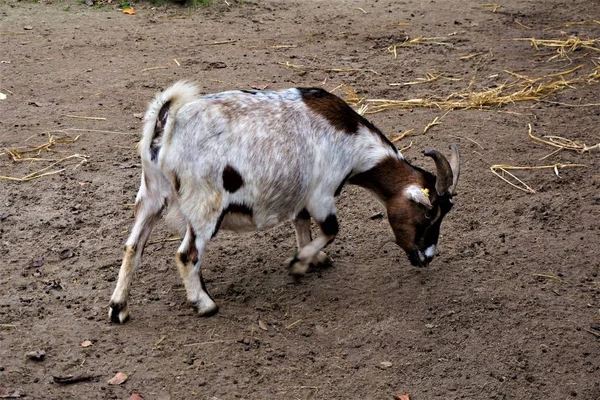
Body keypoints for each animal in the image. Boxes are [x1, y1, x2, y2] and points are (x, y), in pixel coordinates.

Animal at [109, 83, 460, 324]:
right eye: (429, 215)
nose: (426, 257)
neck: (350, 139)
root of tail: (166, 125)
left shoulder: (302, 197)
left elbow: (302, 225)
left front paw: (314, 259)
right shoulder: (322, 193)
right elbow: (331, 229)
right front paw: (299, 263)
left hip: (152, 194)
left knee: (133, 246)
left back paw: (119, 308)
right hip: (205, 204)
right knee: (187, 255)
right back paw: (205, 304)